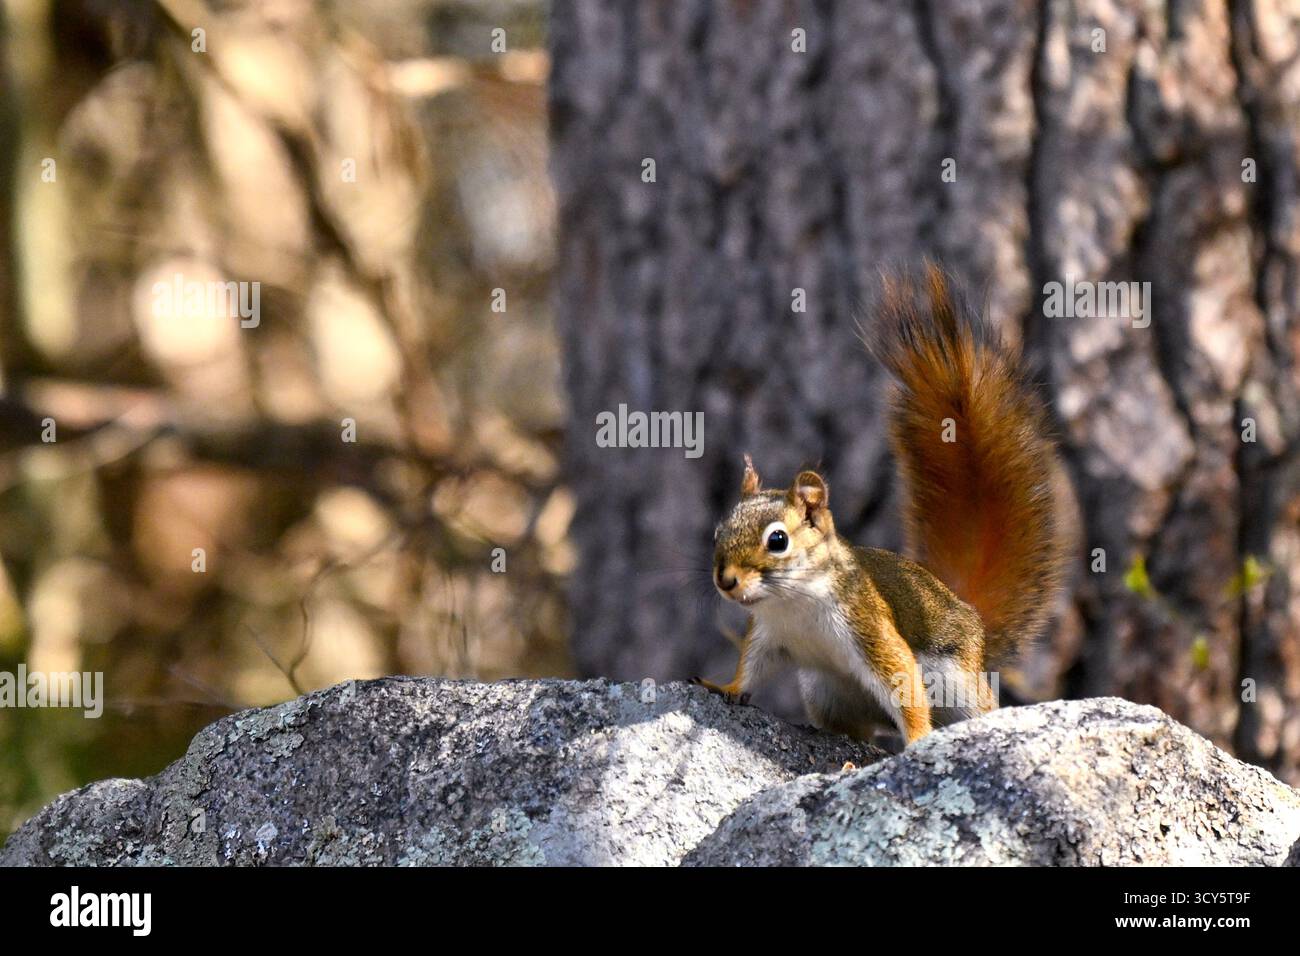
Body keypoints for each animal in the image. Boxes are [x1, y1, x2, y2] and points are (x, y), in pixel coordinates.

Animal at [692, 264, 1067, 745]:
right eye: (718, 532)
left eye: (777, 540)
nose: (726, 581)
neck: (794, 601)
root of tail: (973, 622)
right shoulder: (768, 635)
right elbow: (751, 671)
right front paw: (724, 686)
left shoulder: (868, 625)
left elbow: (902, 682)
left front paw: (920, 739)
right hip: (826, 692)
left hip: (960, 686)